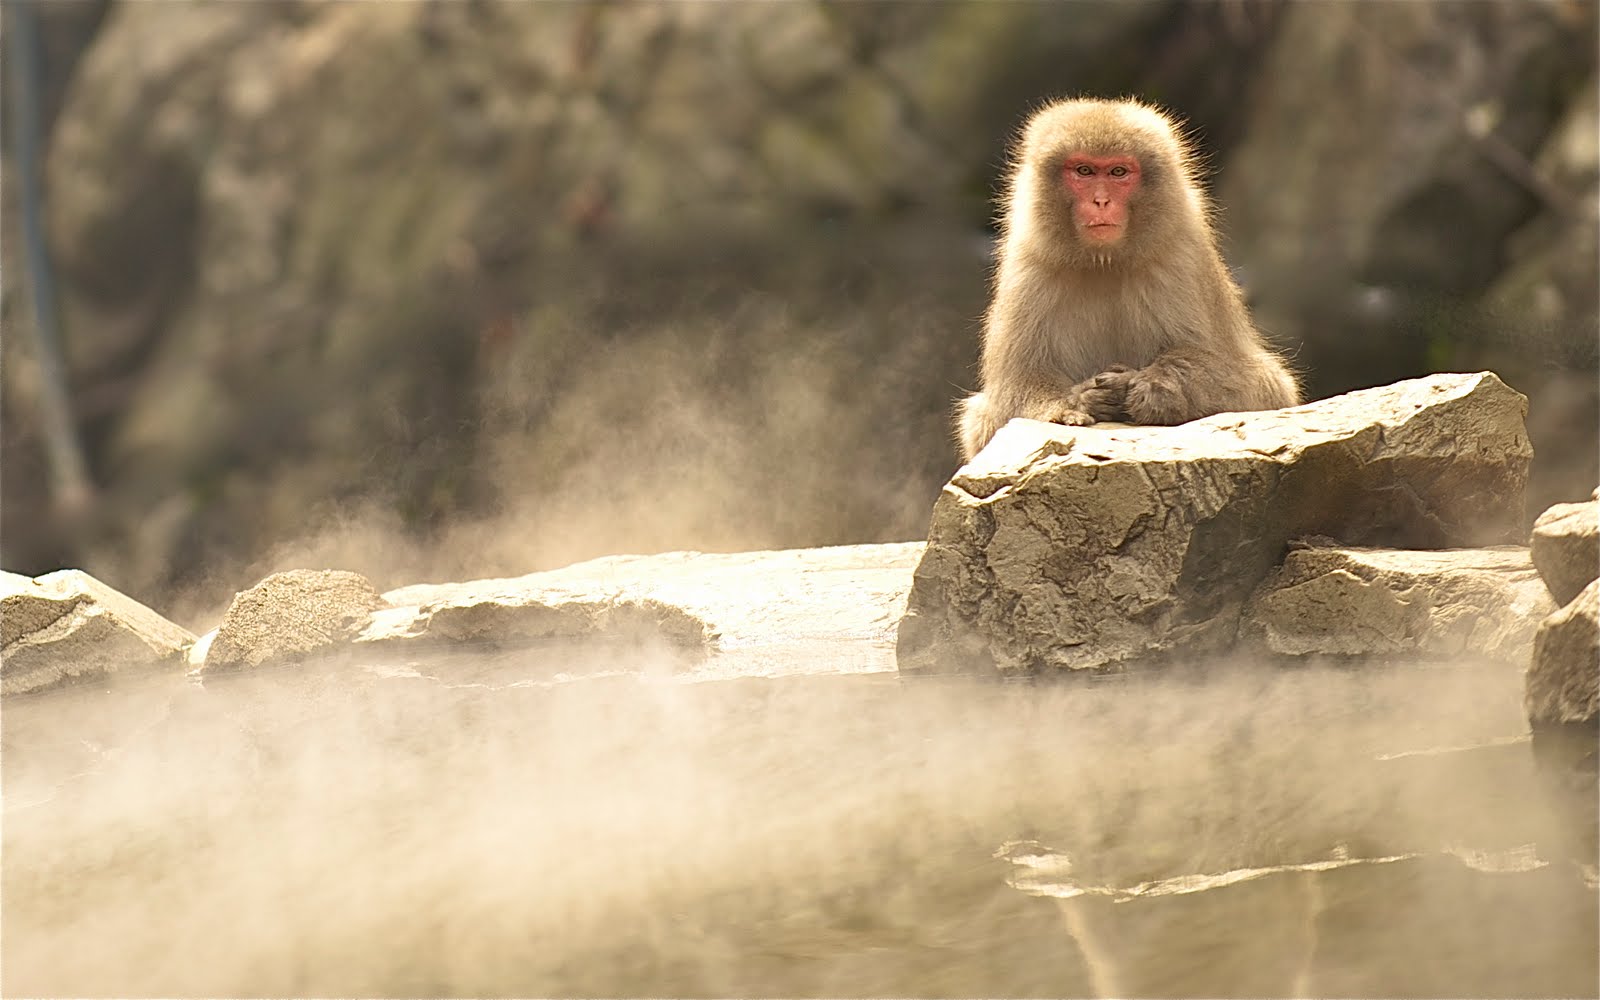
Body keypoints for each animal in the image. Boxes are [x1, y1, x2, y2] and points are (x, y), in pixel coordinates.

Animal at [956, 98, 1300, 461]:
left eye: (1118, 172)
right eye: (1084, 171)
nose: (1101, 201)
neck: (1105, 263)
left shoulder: (1182, 259)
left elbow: (1262, 386)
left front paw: (1155, 388)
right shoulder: (1029, 268)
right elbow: (1000, 404)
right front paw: (1074, 404)